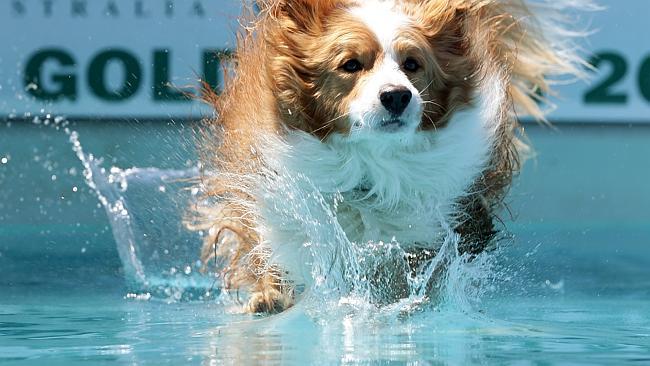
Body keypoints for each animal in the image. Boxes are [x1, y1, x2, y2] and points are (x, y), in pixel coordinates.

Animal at [185, 0, 588, 314]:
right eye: (350, 65)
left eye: (412, 64)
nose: (397, 95)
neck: (371, 164)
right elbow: (278, 247)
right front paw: (272, 294)